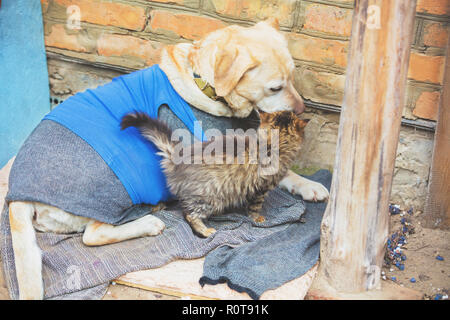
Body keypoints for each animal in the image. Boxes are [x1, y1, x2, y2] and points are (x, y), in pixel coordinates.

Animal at [7, 17, 326, 298]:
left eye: (293, 77)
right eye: (275, 87)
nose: (301, 110)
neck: (203, 84)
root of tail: (16, 195)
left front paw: (309, 185)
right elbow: (281, 170)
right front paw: (307, 184)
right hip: (115, 181)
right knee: (92, 235)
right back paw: (148, 222)